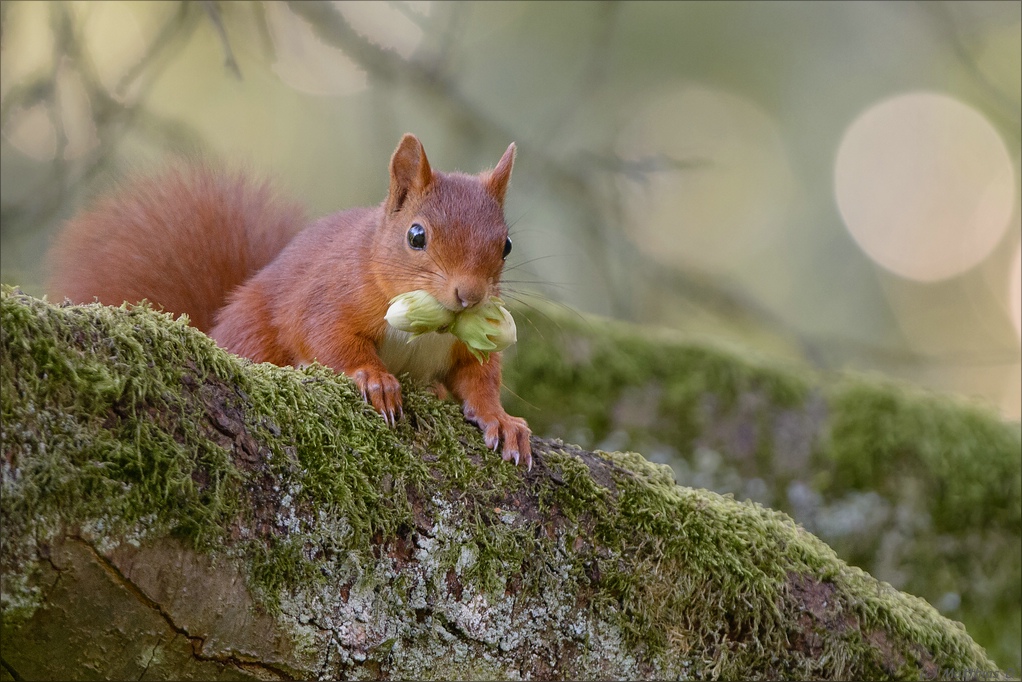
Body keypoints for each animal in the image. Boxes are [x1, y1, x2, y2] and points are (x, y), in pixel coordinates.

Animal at [48, 134, 533, 469]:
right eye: (416, 236)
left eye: (506, 245)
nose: (469, 295)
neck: (430, 328)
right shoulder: (329, 296)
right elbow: (328, 337)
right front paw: (375, 379)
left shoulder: (466, 348)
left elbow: (480, 379)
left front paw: (502, 421)